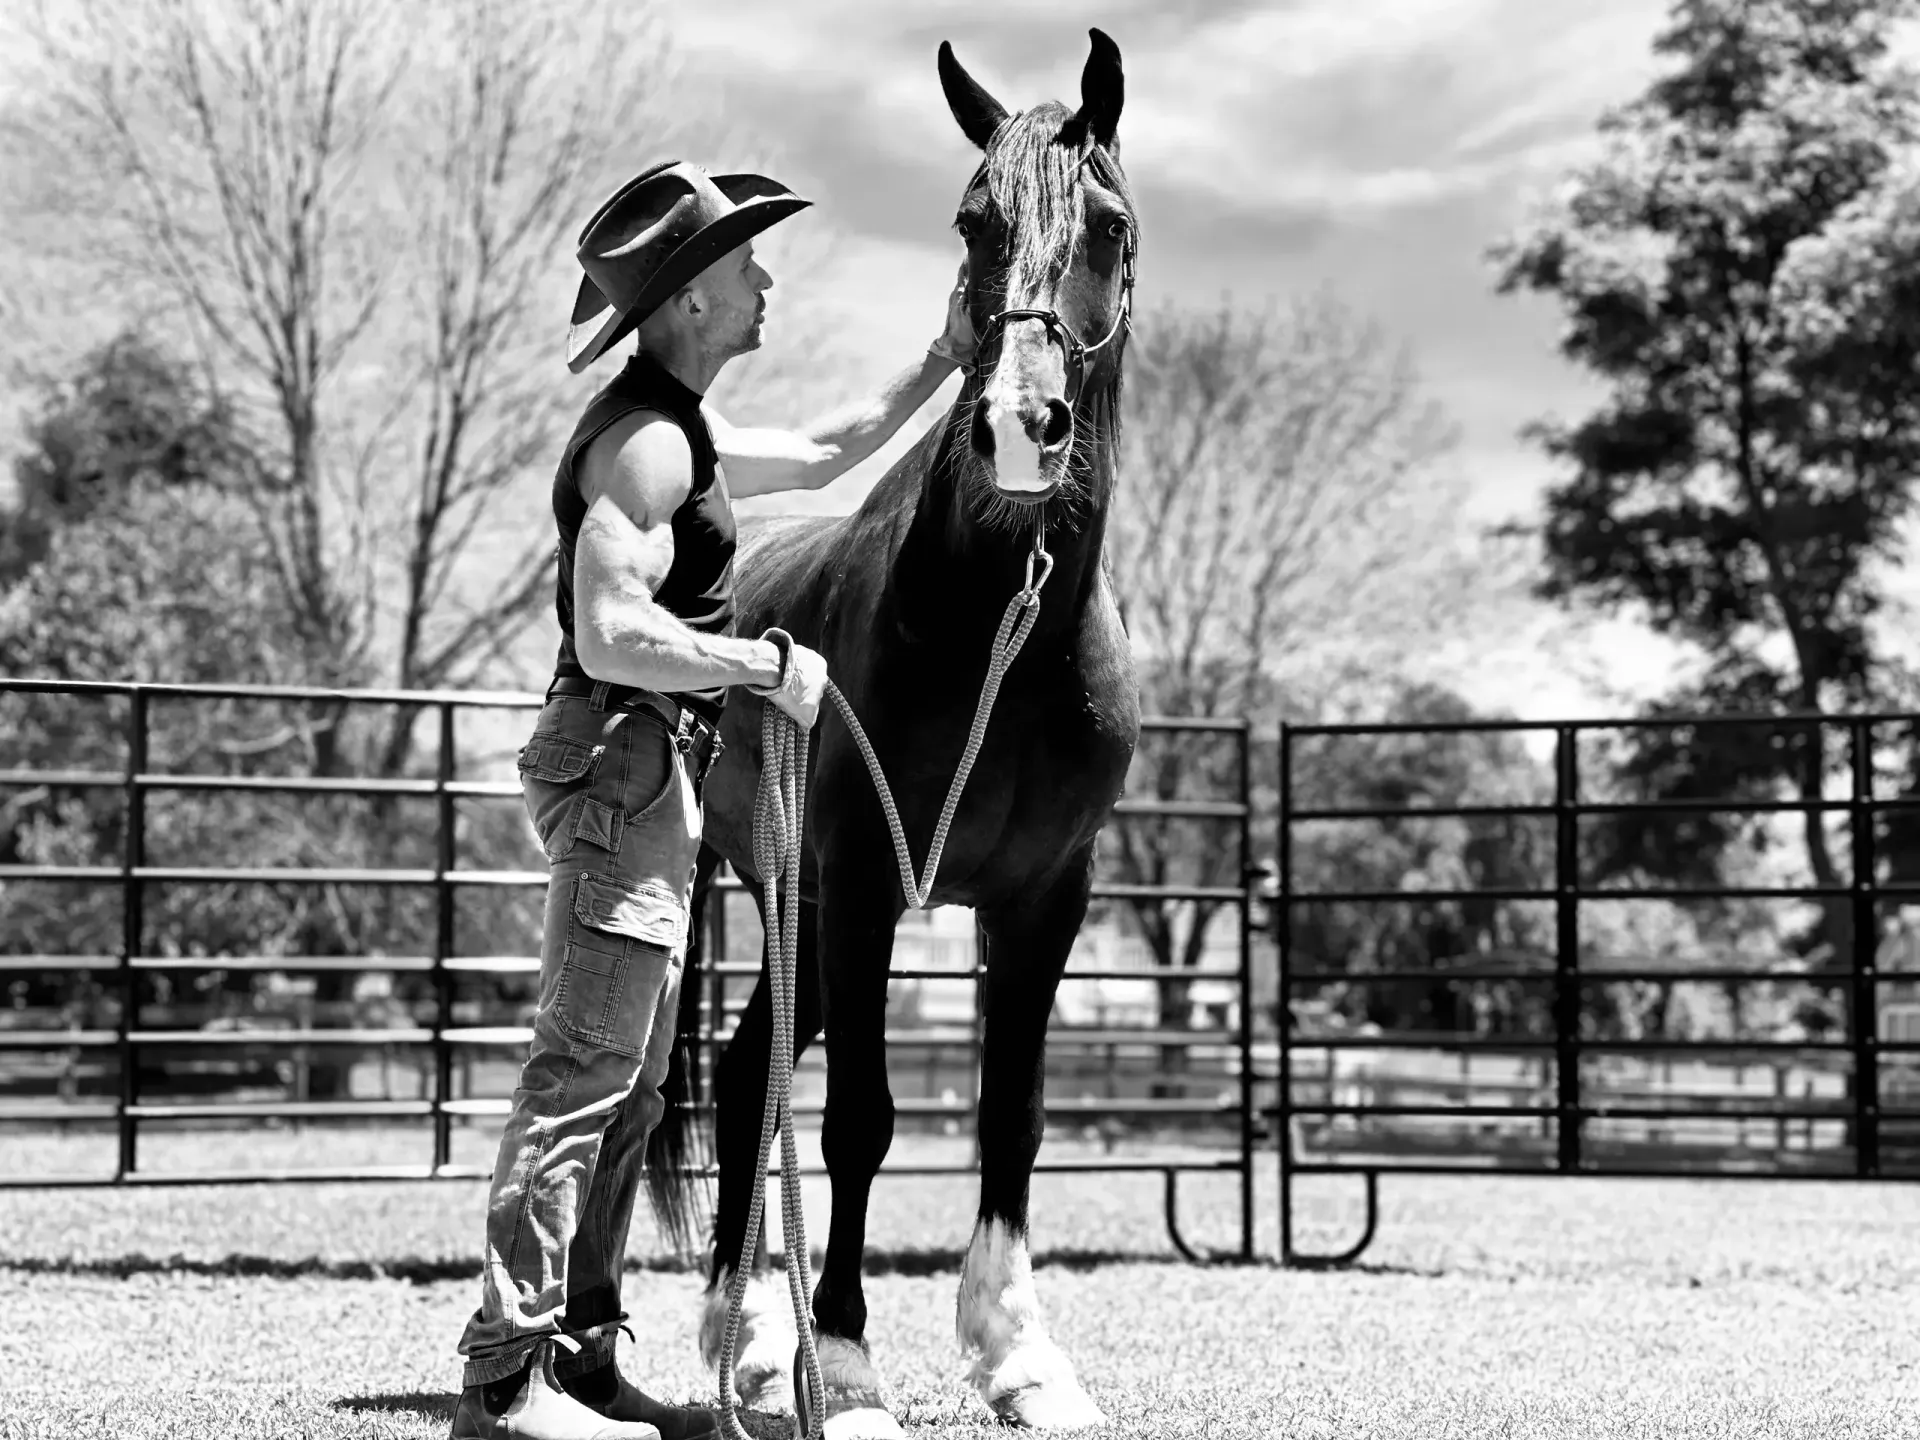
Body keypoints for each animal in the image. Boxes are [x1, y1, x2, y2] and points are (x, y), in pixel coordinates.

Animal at [652, 28, 1136, 1436]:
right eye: (974, 221)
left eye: (1109, 224)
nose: (1023, 426)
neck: (1005, 627)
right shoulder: (869, 875)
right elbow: (859, 1119)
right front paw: (851, 1361)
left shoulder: (1047, 897)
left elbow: (1013, 1117)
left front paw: (1020, 1358)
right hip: (801, 893)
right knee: (761, 1083)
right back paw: (763, 1339)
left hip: (806, 907)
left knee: (750, 1067)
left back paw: (754, 1339)